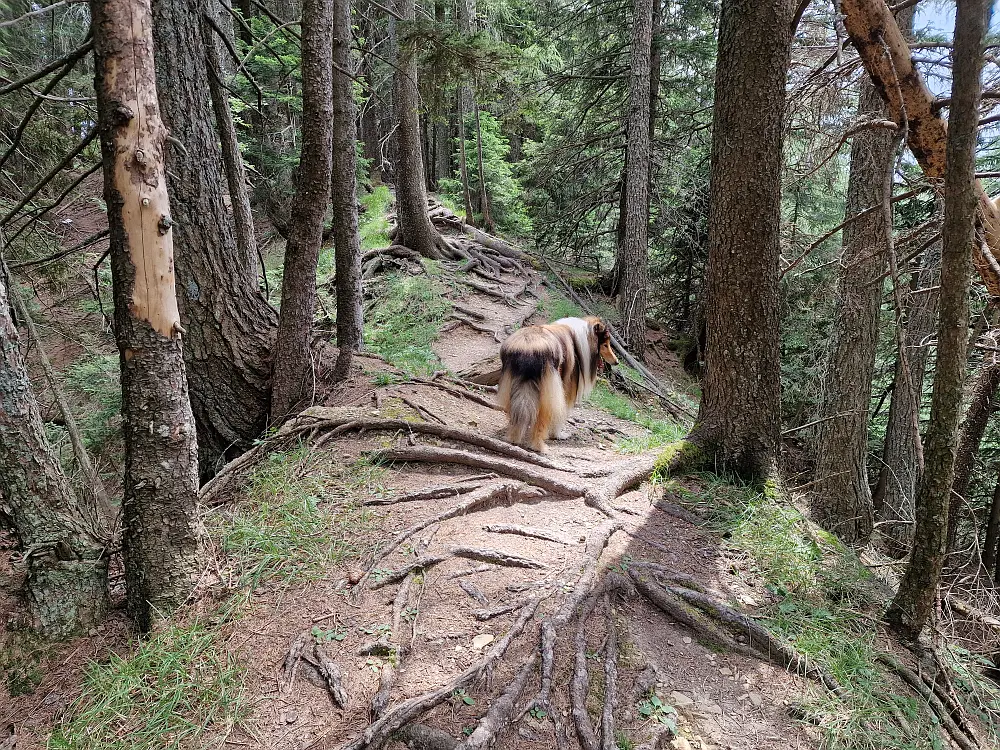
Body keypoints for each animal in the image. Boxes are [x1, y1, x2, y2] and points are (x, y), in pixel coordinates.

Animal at [498, 316, 616, 452]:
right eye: (605, 344)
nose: (616, 362)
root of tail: (529, 346)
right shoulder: (567, 388)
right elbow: (562, 413)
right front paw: (557, 434)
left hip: (511, 383)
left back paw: (513, 437)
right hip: (549, 390)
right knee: (542, 419)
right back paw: (538, 446)